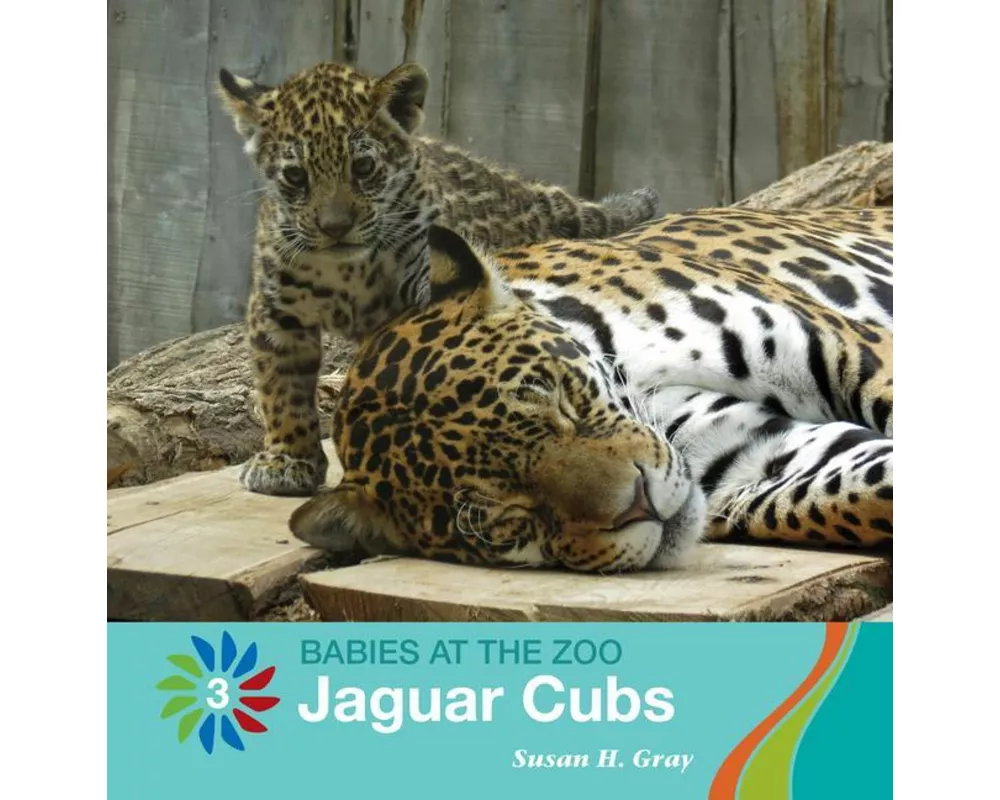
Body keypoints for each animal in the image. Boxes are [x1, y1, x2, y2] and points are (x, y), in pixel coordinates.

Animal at [216, 60, 660, 498]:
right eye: (295, 176)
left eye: (363, 167)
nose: (335, 227)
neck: (347, 271)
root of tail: (530, 193)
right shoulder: (277, 312)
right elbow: (281, 389)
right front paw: (287, 460)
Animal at [288, 206, 893, 573]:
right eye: (506, 517)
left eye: (559, 398)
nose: (641, 504)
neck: (638, 376)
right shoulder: (749, 460)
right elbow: (849, 494)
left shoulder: (846, 347)